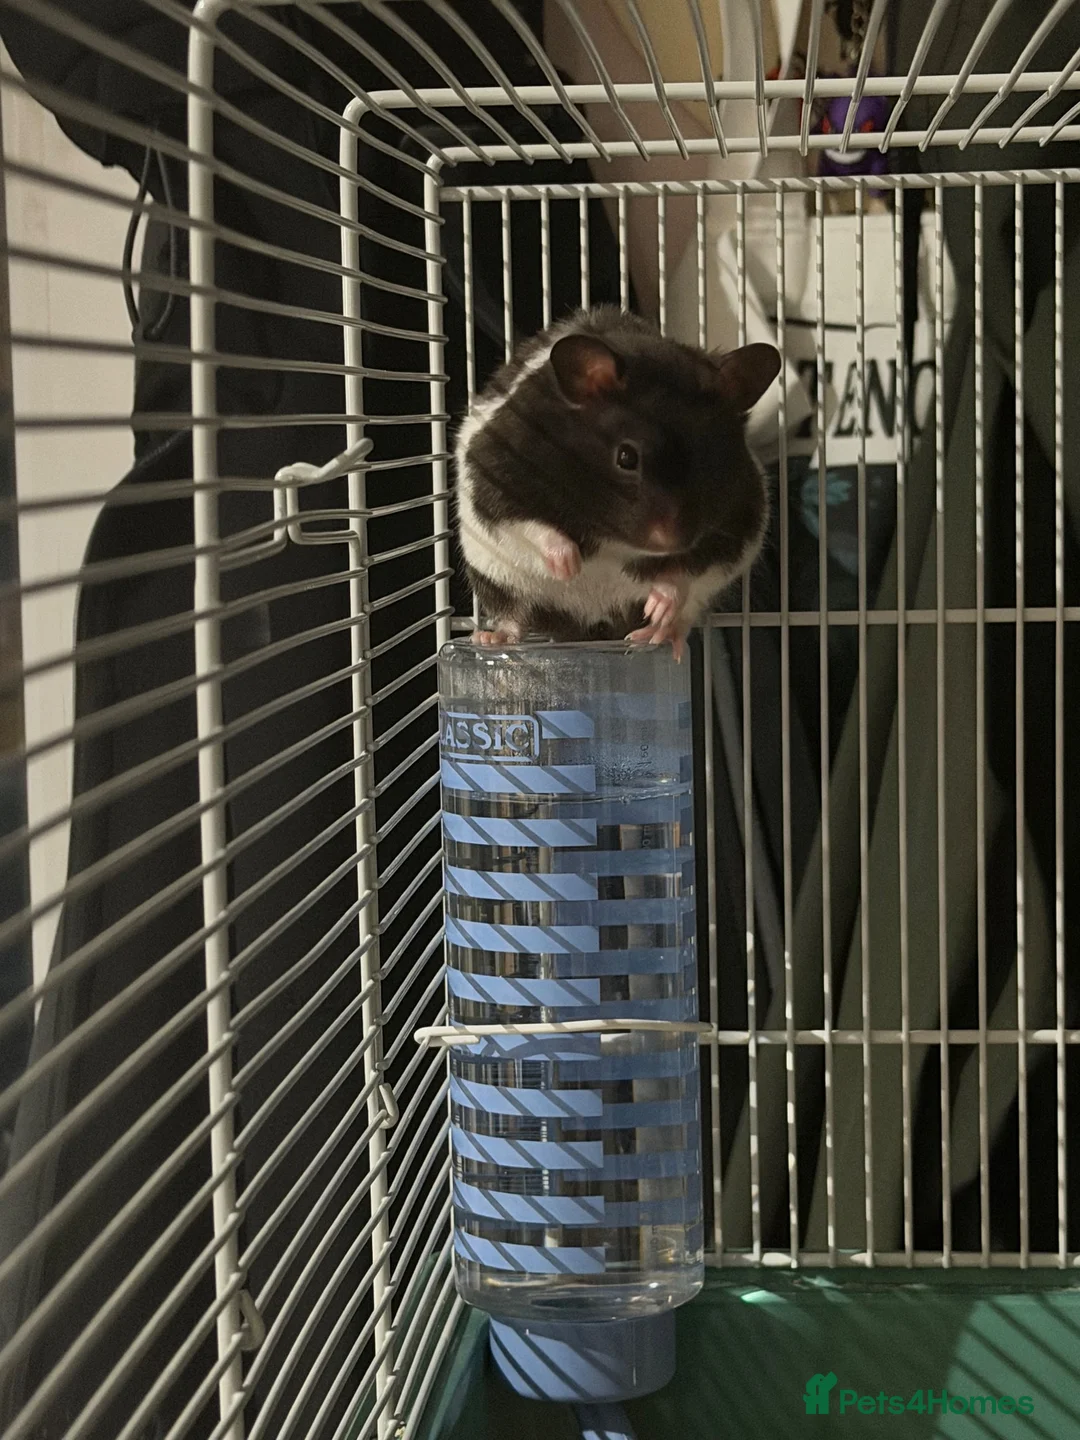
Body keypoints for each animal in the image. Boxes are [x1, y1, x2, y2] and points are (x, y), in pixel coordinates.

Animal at [455, 305, 781, 659]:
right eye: (626, 457)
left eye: (712, 459)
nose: (672, 542)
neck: (609, 535)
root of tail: (592, 628)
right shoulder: (492, 476)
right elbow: (531, 526)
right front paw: (570, 566)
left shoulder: (740, 523)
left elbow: (686, 571)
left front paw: (659, 605)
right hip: (496, 579)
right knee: (513, 615)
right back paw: (490, 639)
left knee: (685, 615)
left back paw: (658, 633)